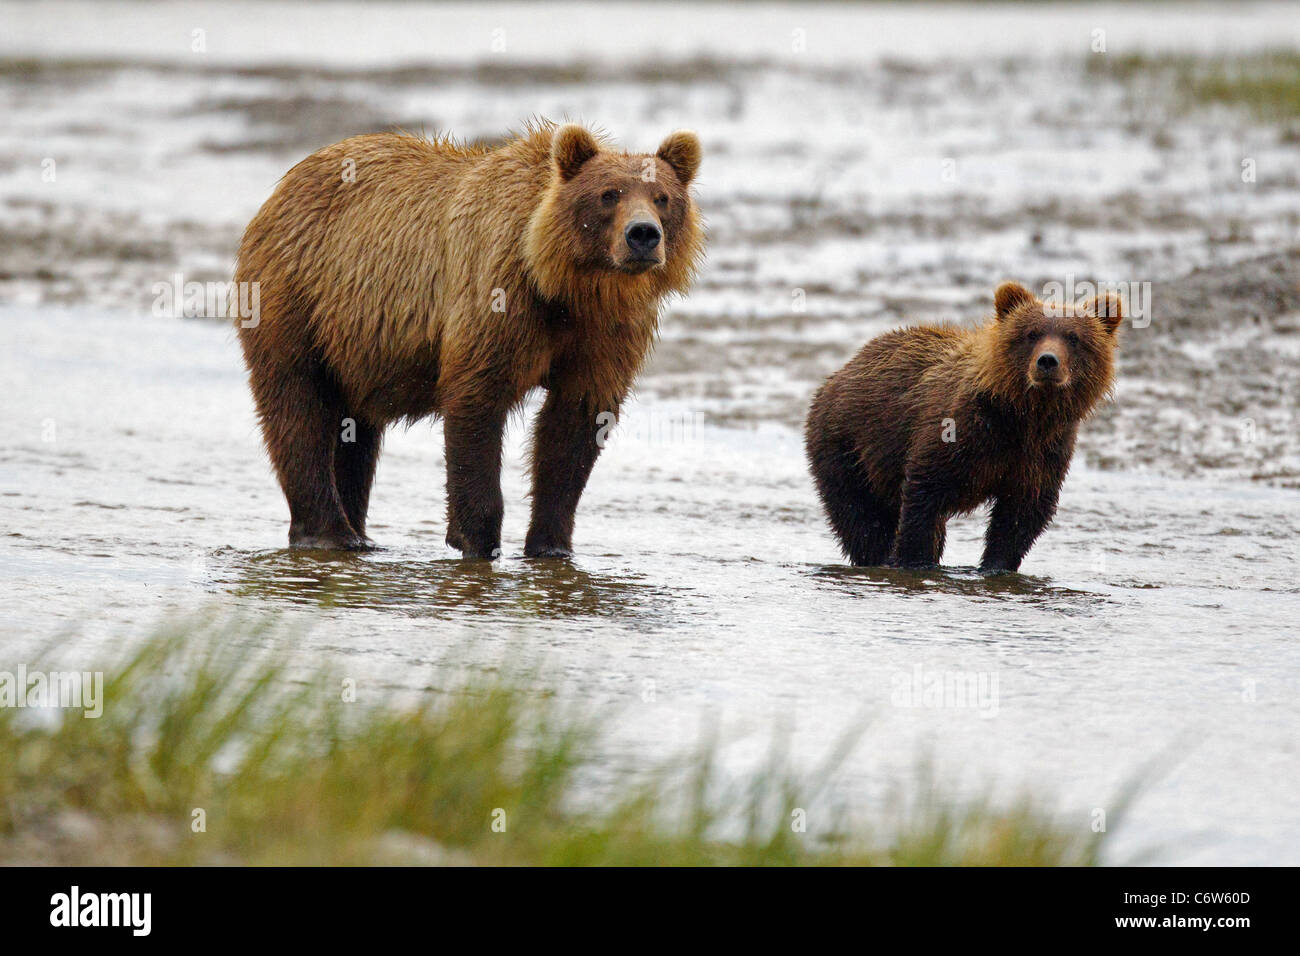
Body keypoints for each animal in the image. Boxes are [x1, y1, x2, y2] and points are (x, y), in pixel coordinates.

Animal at [233, 120, 702, 556]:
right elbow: (477, 405)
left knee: (355, 430)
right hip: (298, 296)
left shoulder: (606, 334)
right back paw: (329, 532)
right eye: (609, 194)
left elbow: (575, 424)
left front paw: (551, 544)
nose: (643, 234)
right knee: (298, 405)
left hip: (357, 343)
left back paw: (358, 531)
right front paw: (476, 538)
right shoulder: (498, 299)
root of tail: (284, 186)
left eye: (662, 197)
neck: (565, 290)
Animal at [800, 280, 1118, 572]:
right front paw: (913, 562)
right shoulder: (956, 431)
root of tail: (840, 372)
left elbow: (1022, 515)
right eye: (1031, 333)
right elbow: (924, 498)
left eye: (1074, 338)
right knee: (859, 515)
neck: (1023, 416)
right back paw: (876, 558)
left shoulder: (1043, 453)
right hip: (847, 445)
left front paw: (996, 567)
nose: (1047, 361)